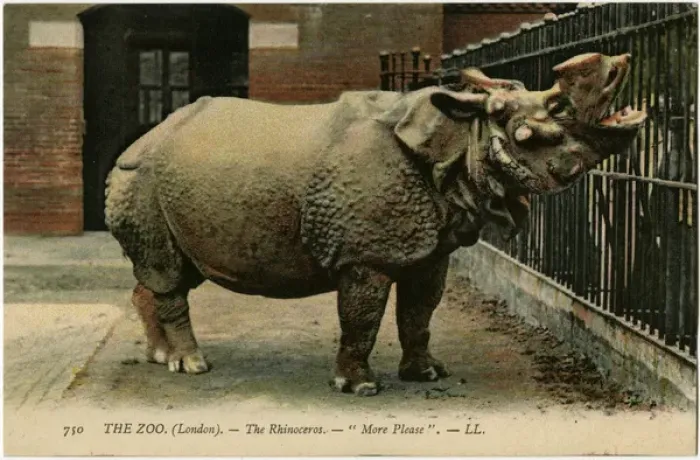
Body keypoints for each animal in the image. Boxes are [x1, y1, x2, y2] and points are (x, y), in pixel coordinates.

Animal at [106, 53, 645, 396]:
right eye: (552, 115)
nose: (617, 64)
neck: (464, 136)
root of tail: (141, 139)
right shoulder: (364, 253)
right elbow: (362, 316)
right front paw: (360, 387)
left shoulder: (431, 247)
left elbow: (420, 312)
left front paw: (426, 375)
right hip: (140, 177)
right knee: (167, 272)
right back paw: (193, 366)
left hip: (169, 182)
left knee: (173, 270)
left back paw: (162, 358)